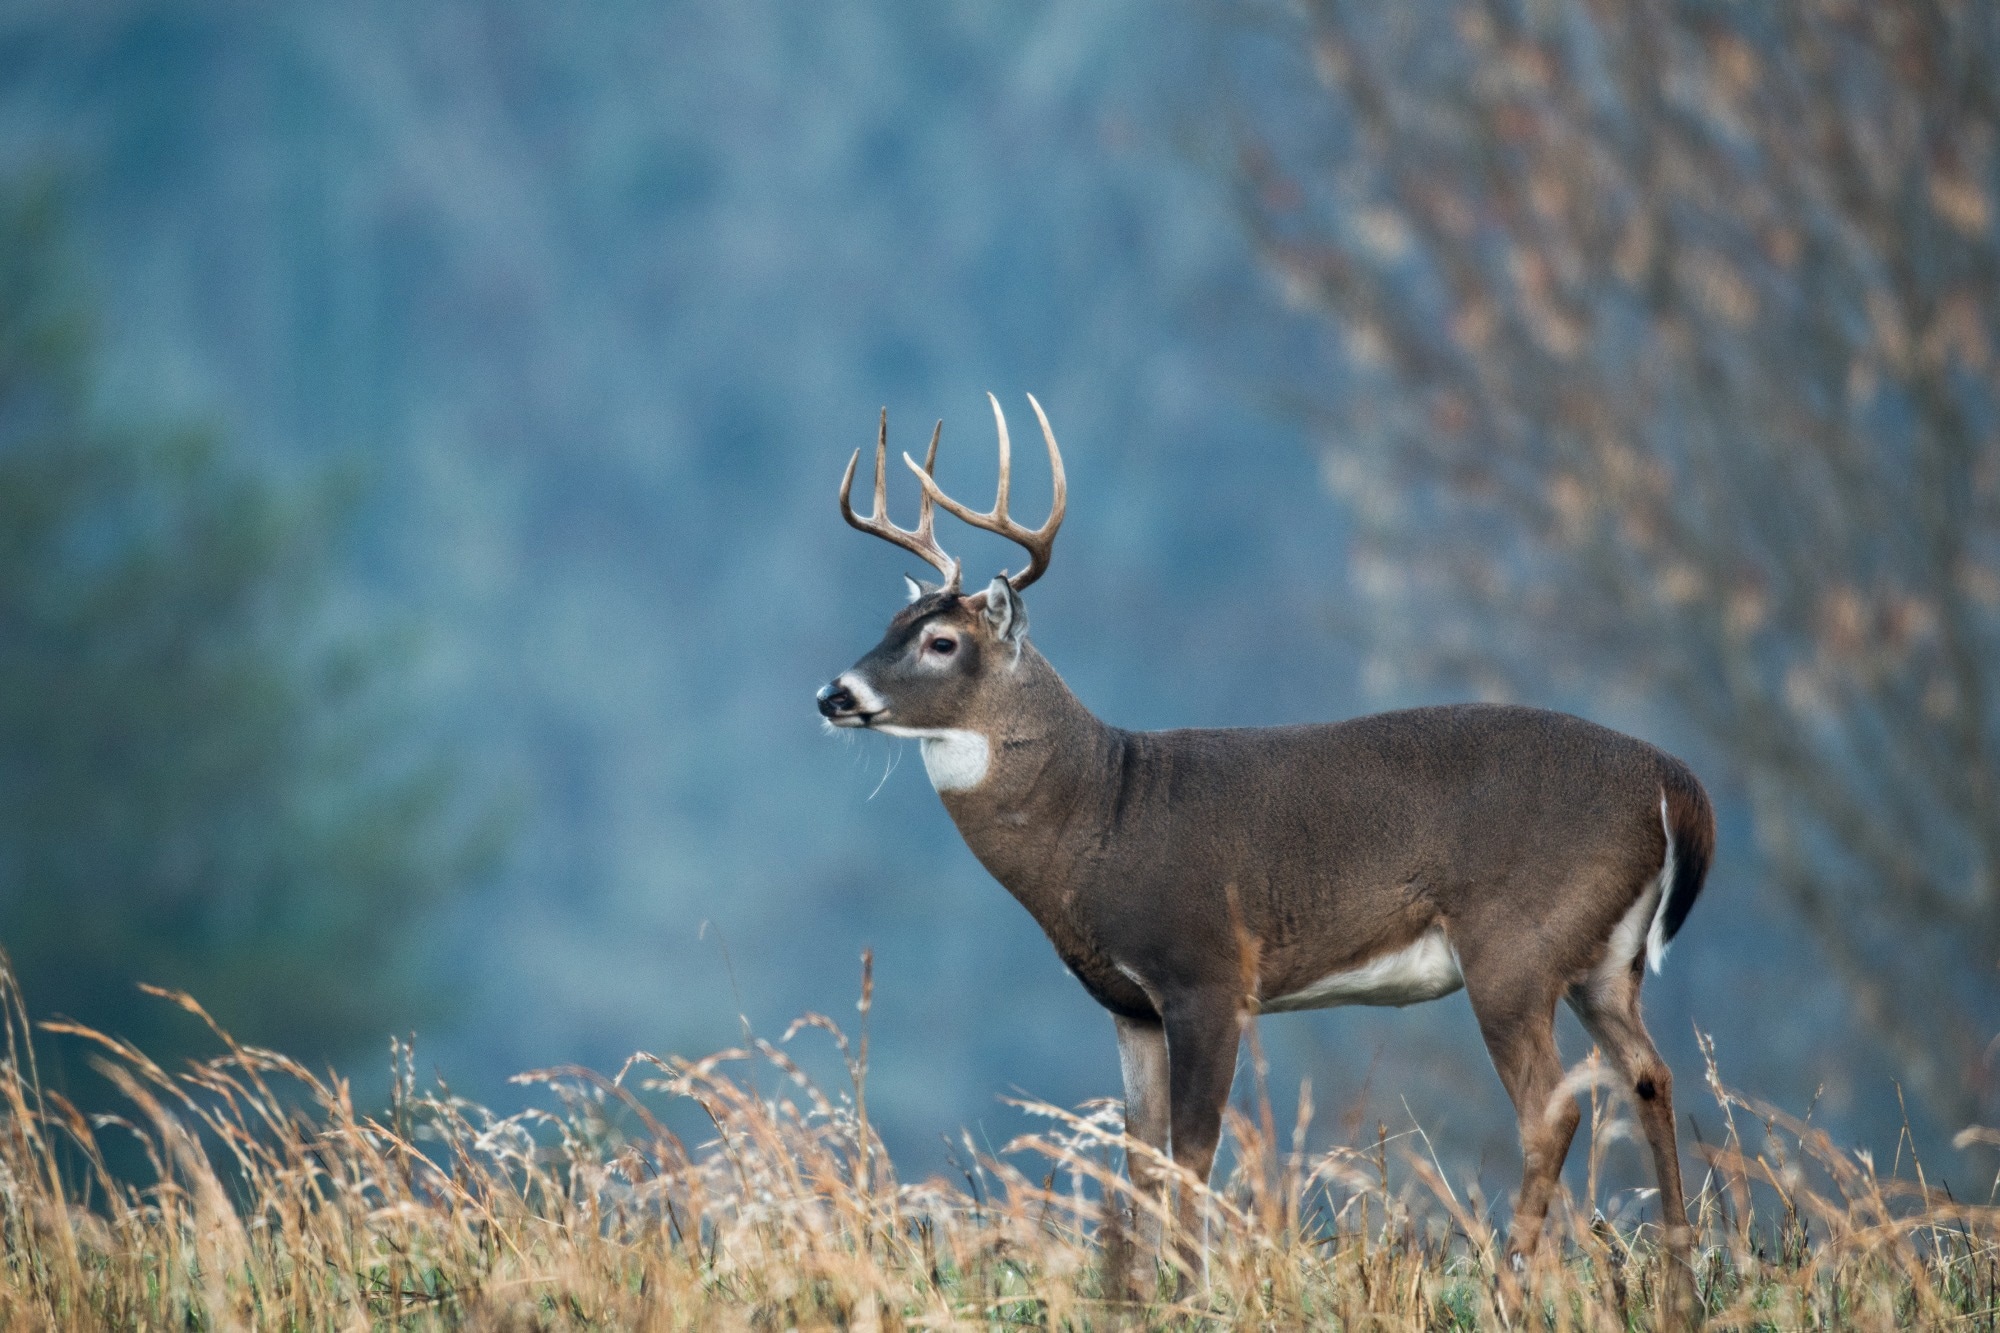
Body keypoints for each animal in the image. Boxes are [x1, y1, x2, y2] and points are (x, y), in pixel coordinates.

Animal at [816, 392, 1720, 1296]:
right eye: (890, 622)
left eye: (942, 642)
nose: (834, 693)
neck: (1101, 810)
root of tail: (1676, 784)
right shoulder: (1129, 1005)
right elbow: (1141, 1157)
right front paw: (1139, 1290)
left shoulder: (1207, 973)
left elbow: (1192, 1149)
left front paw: (1191, 1290)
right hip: (1605, 960)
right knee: (1650, 1076)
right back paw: (1677, 1281)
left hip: (1514, 946)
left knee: (1554, 1109)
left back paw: (1509, 1282)